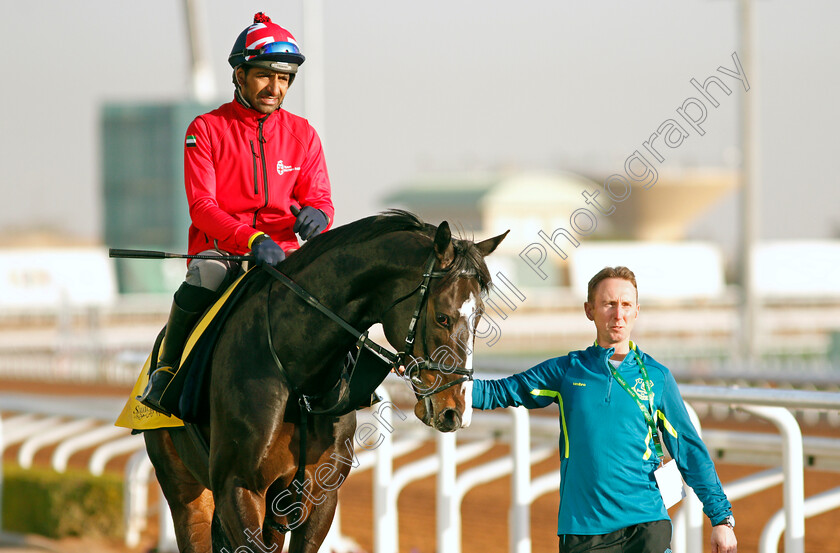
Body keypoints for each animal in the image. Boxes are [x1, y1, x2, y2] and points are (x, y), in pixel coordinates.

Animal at [144, 209, 506, 548]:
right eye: (443, 317)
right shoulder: (237, 488)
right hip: (186, 493)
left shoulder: (318, 497)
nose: (456, 411)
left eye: (479, 317)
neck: (299, 380)